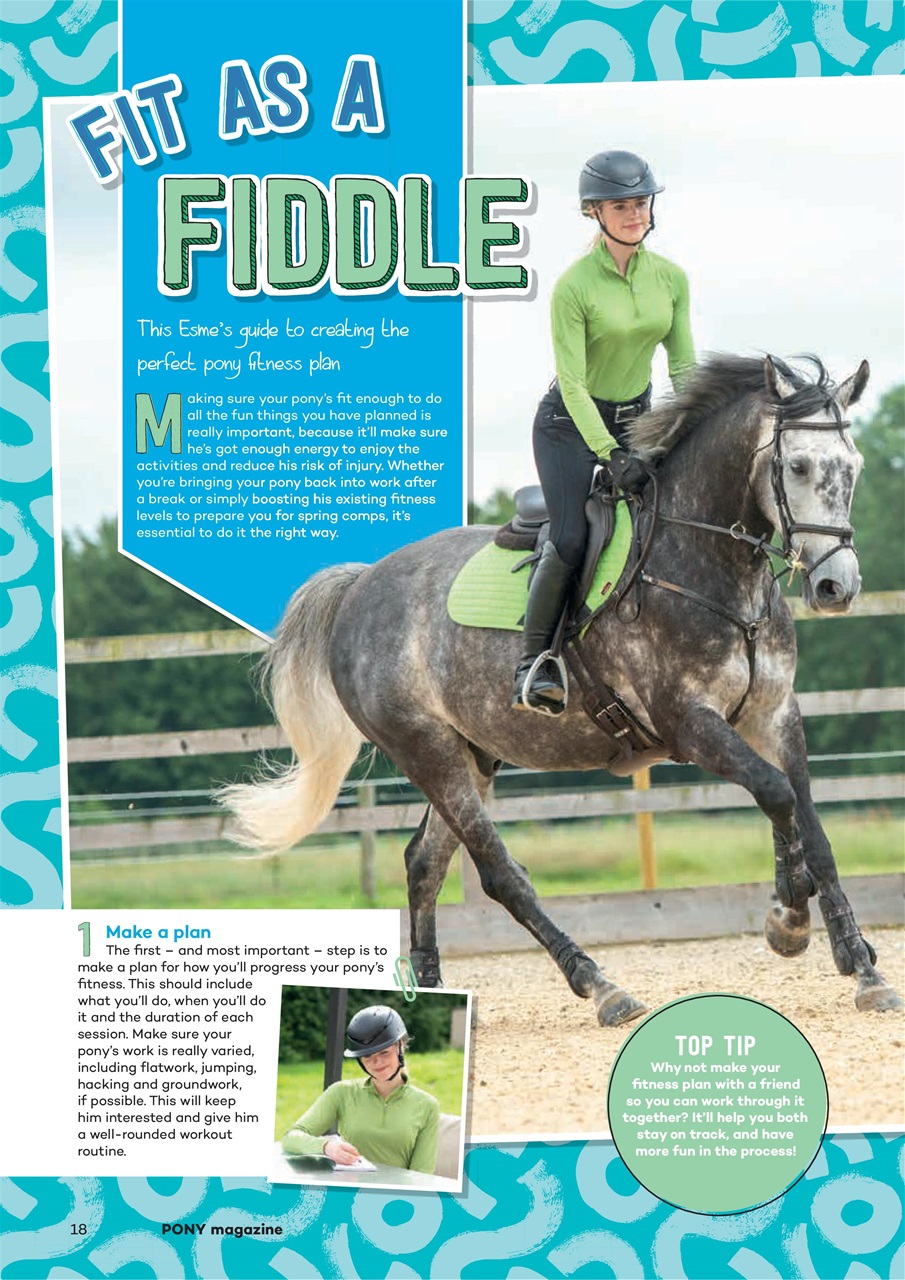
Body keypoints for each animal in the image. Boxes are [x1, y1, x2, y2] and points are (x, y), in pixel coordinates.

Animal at [220, 354, 902, 1026]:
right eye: (798, 465)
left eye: (854, 468)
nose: (836, 587)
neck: (708, 564)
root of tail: (360, 586)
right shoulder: (689, 724)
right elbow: (774, 792)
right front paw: (788, 919)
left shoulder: (775, 714)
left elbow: (810, 824)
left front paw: (860, 966)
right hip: (426, 750)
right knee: (499, 875)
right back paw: (602, 987)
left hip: (472, 755)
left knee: (424, 863)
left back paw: (437, 993)